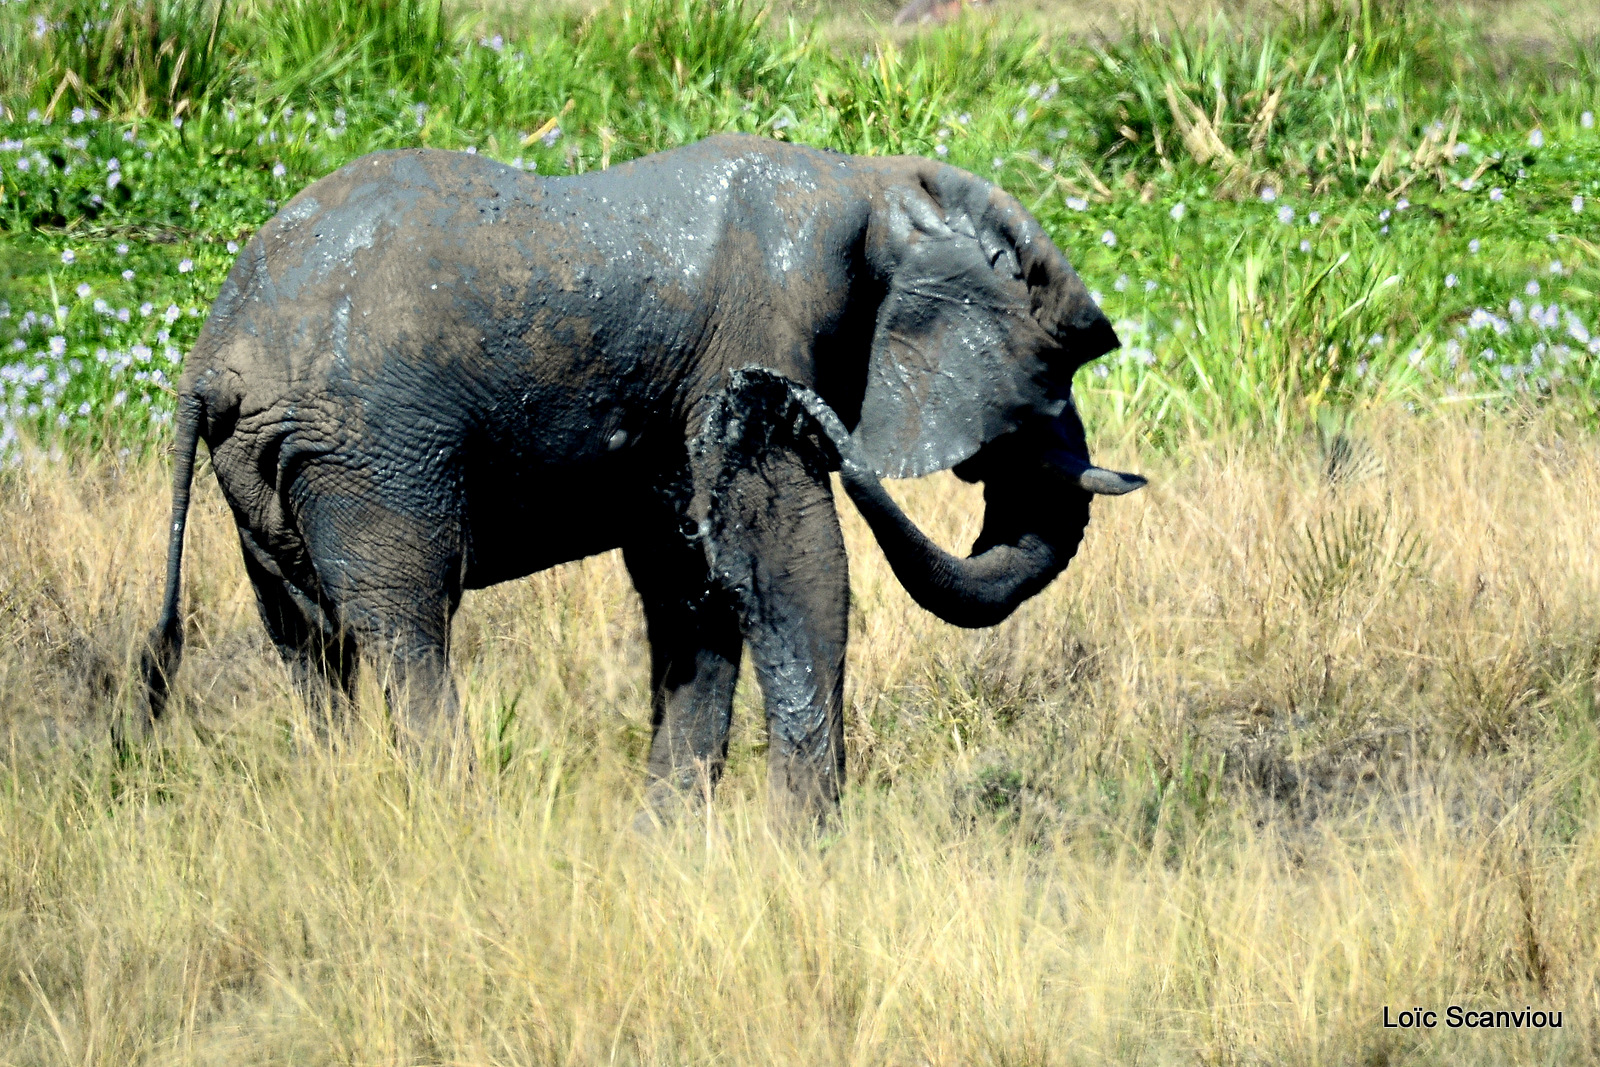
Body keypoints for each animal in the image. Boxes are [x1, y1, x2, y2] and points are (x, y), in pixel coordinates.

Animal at [134, 131, 1139, 819]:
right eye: (1065, 362)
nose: (767, 397)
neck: (875, 182)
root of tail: (214, 360)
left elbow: (695, 578)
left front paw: (670, 842)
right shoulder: (767, 326)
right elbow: (789, 558)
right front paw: (802, 851)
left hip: (267, 464)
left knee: (307, 639)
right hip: (367, 450)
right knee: (402, 626)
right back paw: (457, 816)